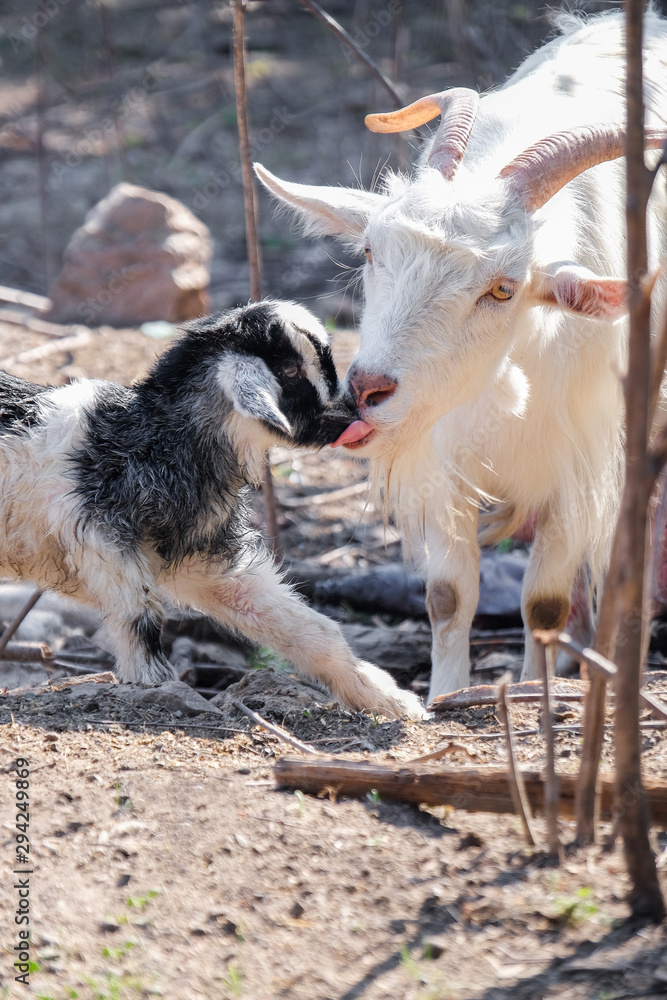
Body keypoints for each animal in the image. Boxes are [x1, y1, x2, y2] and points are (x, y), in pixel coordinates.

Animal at [258, 11, 667, 700]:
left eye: (503, 288)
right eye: (369, 251)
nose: (367, 389)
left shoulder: (582, 461)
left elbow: (544, 603)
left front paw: (533, 692)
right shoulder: (440, 456)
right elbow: (449, 596)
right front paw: (444, 695)